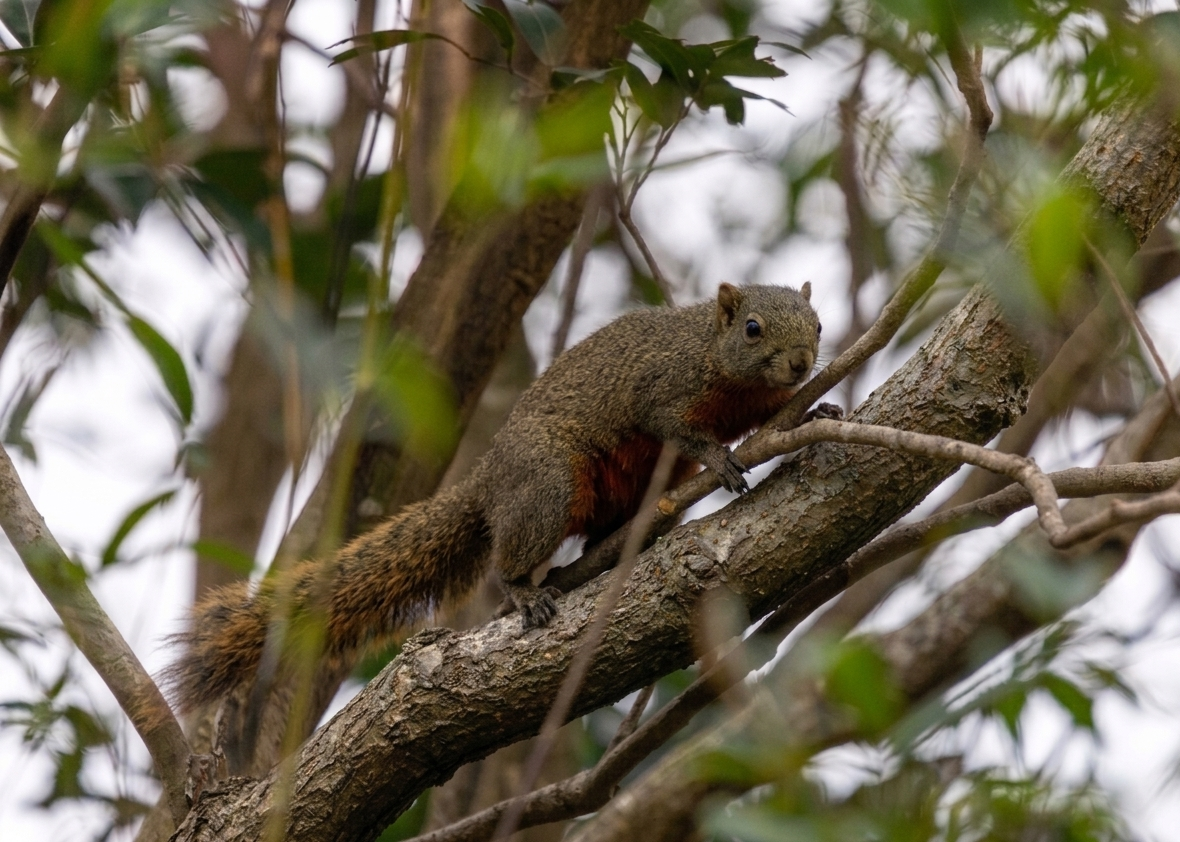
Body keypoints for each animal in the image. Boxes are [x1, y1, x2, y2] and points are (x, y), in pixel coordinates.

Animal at [166, 282, 824, 713]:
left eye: (817, 325)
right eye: (752, 329)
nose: (801, 362)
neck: (715, 357)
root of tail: (487, 480)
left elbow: (779, 414)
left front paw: (817, 411)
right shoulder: (664, 386)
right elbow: (674, 427)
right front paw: (719, 458)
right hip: (547, 484)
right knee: (511, 556)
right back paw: (523, 590)